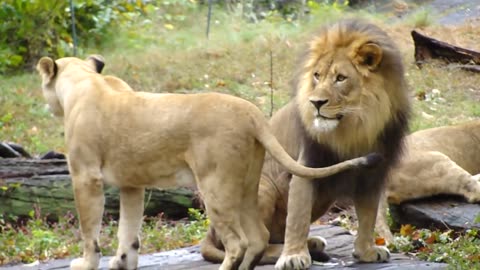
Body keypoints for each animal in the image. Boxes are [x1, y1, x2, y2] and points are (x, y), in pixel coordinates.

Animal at [35, 55, 378, 270]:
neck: (85, 82)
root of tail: (251, 111)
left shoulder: (85, 177)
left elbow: (89, 230)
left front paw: (86, 263)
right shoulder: (132, 184)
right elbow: (128, 232)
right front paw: (122, 263)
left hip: (215, 186)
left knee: (237, 242)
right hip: (248, 187)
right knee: (258, 237)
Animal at [201, 18, 410, 268]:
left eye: (340, 78)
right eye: (317, 75)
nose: (316, 103)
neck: (355, 128)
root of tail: (209, 233)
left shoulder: (372, 172)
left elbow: (368, 216)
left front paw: (367, 251)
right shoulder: (307, 166)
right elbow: (297, 218)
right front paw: (293, 257)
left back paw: (313, 243)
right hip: (259, 188)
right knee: (249, 243)